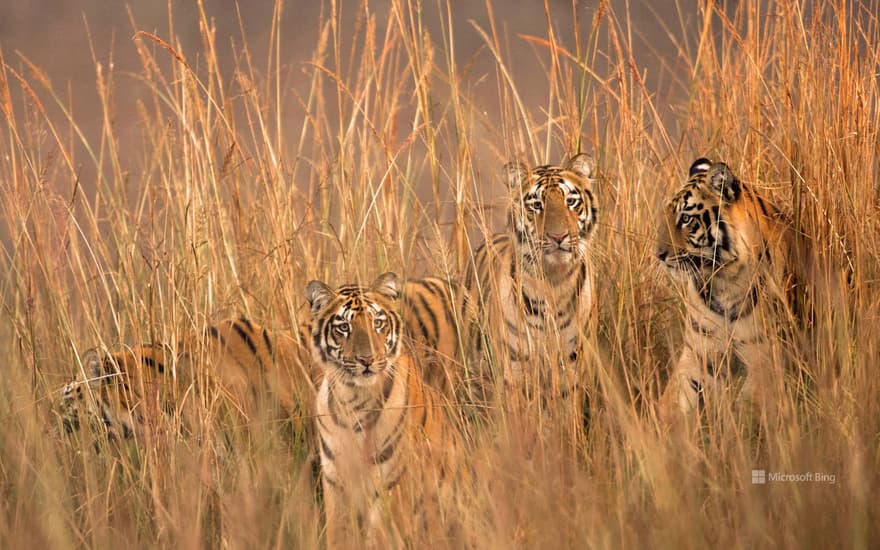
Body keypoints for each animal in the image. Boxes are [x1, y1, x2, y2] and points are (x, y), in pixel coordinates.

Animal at [652, 157, 812, 420]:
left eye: (685, 219)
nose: (659, 255)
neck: (722, 280)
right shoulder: (698, 355)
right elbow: (672, 402)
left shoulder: (763, 356)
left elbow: (747, 407)